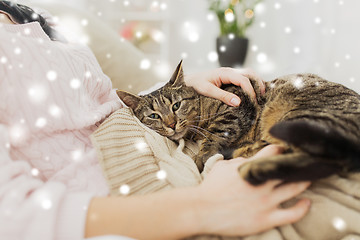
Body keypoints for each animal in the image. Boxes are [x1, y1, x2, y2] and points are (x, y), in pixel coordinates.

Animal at [117, 61, 360, 185]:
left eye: (176, 106)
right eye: (154, 116)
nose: (171, 124)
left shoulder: (238, 103)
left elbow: (215, 133)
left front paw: (201, 157)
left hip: (302, 117)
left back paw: (253, 165)